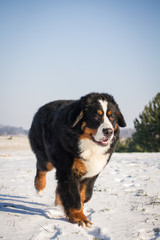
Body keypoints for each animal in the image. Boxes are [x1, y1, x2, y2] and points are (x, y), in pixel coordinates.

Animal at [29, 92, 126, 227]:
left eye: (112, 117)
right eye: (96, 116)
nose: (108, 131)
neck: (89, 145)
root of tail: (41, 108)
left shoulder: (93, 171)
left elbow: (86, 194)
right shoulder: (68, 170)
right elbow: (74, 197)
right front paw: (79, 218)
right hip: (45, 157)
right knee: (41, 168)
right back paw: (39, 188)